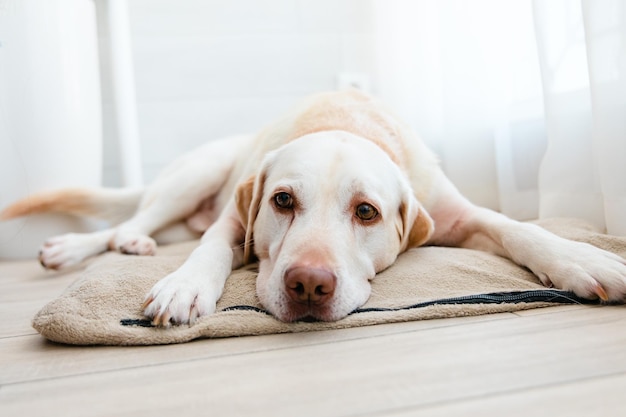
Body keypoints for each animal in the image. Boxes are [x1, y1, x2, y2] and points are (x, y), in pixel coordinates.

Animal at [1, 92, 624, 324]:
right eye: (282, 201)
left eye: (367, 212)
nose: (308, 285)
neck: (345, 118)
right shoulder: (234, 218)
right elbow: (211, 249)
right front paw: (185, 285)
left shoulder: (455, 213)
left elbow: (516, 227)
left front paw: (584, 259)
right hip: (195, 175)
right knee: (126, 224)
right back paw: (89, 245)